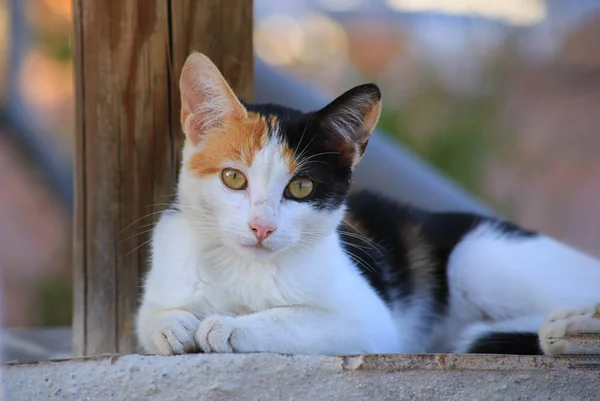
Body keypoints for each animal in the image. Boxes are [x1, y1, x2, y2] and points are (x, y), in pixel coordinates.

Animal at [136, 51, 600, 354]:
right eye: (233, 178)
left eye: (301, 188)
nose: (261, 227)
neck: (243, 267)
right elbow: (148, 319)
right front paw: (173, 326)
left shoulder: (371, 323)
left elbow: (296, 319)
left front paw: (228, 326)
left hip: (478, 256)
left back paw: (571, 328)